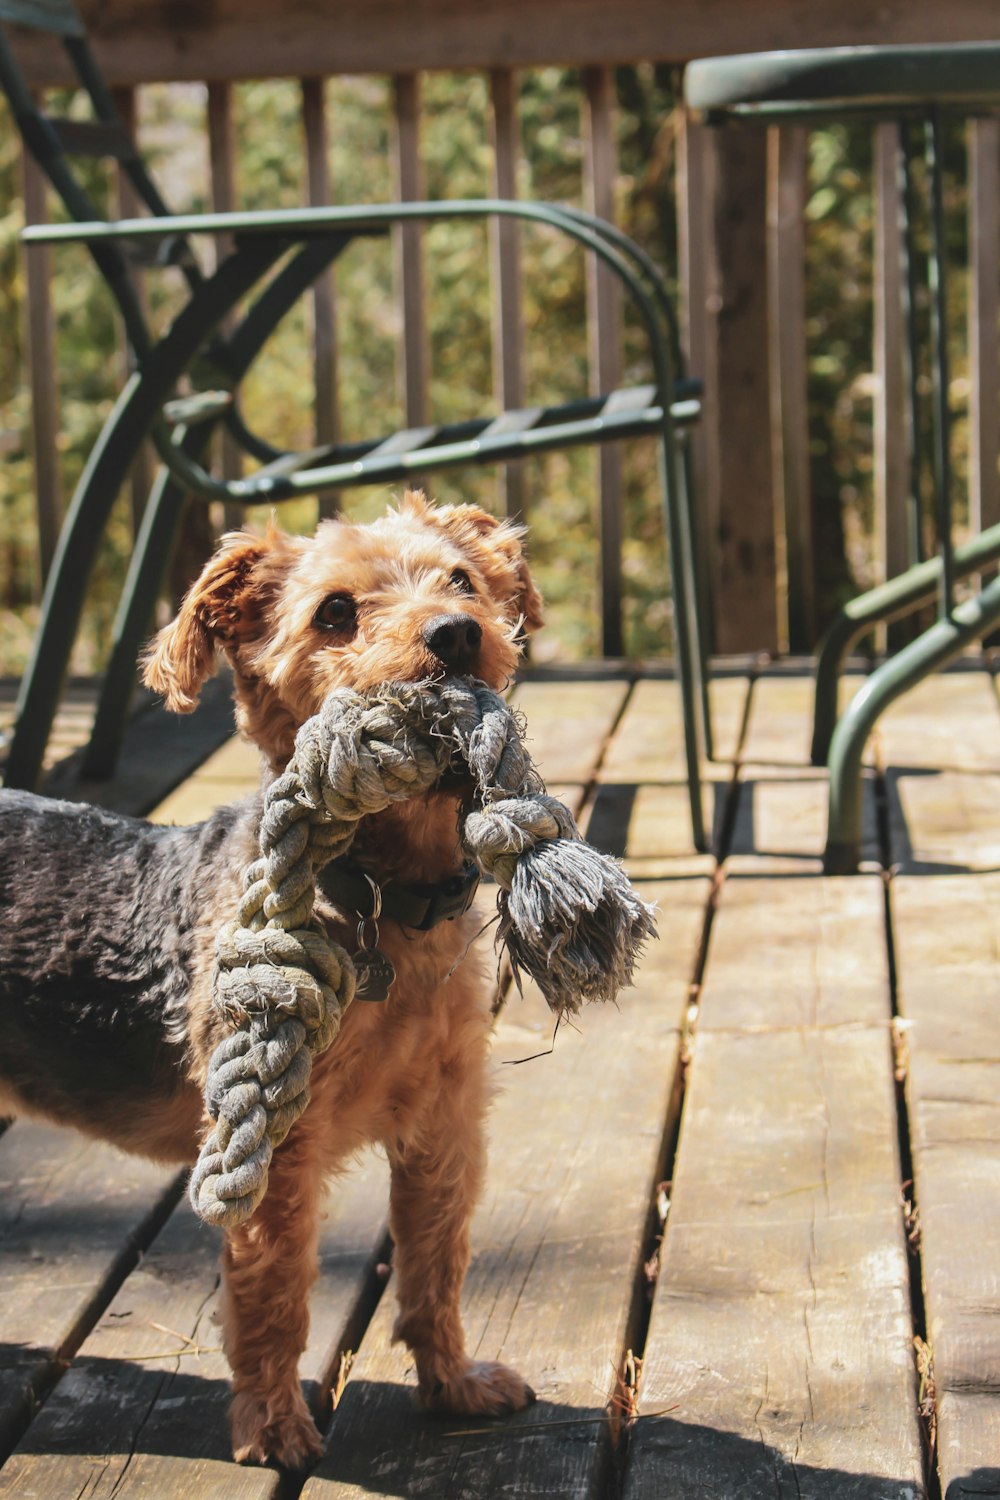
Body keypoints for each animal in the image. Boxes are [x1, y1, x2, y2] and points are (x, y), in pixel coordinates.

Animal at [0, 492, 542, 1464]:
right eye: (334, 612)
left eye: (462, 579)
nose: (455, 634)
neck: (381, 901)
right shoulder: (272, 1145)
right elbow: (273, 1297)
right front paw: (276, 1429)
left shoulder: (445, 1124)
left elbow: (435, 1261)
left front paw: (455, 1386)